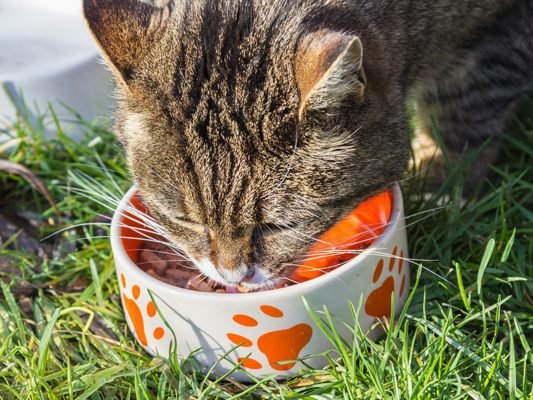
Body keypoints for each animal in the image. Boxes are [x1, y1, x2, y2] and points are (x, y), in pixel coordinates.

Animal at [83, 0, 532, 288]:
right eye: (186, 220)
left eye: (279, 226)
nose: (233, 276)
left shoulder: (498, 32)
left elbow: (465, 115)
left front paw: (442, 184)